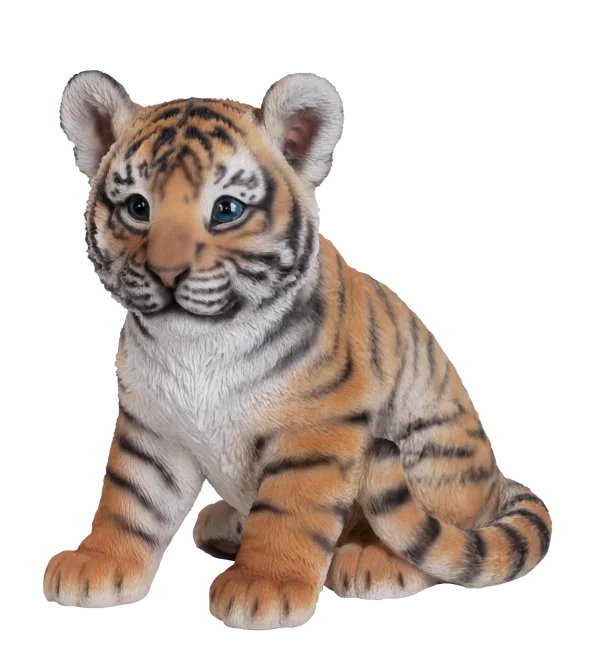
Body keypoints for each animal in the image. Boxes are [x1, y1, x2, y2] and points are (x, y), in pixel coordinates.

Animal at [43, 70, 553, 630]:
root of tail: (498, 481)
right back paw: (225, 523)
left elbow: (289, 509)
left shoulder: (316, 425)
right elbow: (130, 498)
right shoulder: (152, 422)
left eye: (226, 209)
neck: (197, 344)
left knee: (437, 544)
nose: (167, 272)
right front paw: (94, 564)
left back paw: (371, 562)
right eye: (138, 207)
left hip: (435, 449)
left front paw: (262, 587)